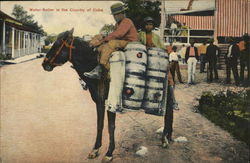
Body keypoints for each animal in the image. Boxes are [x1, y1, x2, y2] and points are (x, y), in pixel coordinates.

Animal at [42, 29, 172, 162]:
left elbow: (111, 126)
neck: (93, 63)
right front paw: (95, 149)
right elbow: (100, 124)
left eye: (58, 44)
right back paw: (168, 137)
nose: (44, 64)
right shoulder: (99, 101)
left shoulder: (111, 102)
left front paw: (109, 152)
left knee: (168, 112)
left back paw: (165, 139)